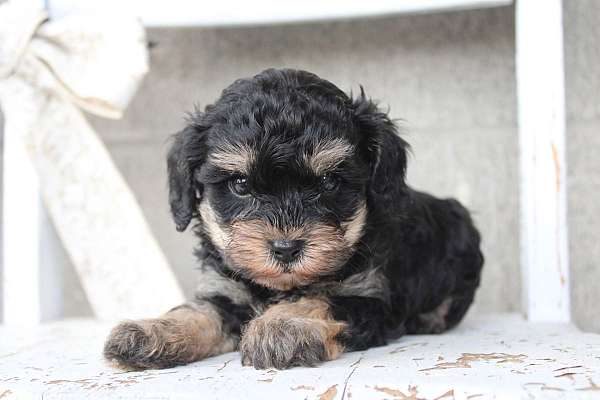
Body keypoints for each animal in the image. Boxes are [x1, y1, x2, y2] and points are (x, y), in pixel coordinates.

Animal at [105, 67, 486, 370]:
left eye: (329, 182)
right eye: (240, 184)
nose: (286, 248)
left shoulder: (369, 295)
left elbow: (320, 300)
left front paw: (282, 326)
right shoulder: (225, 290)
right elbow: (199, 311)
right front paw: (150, 331)